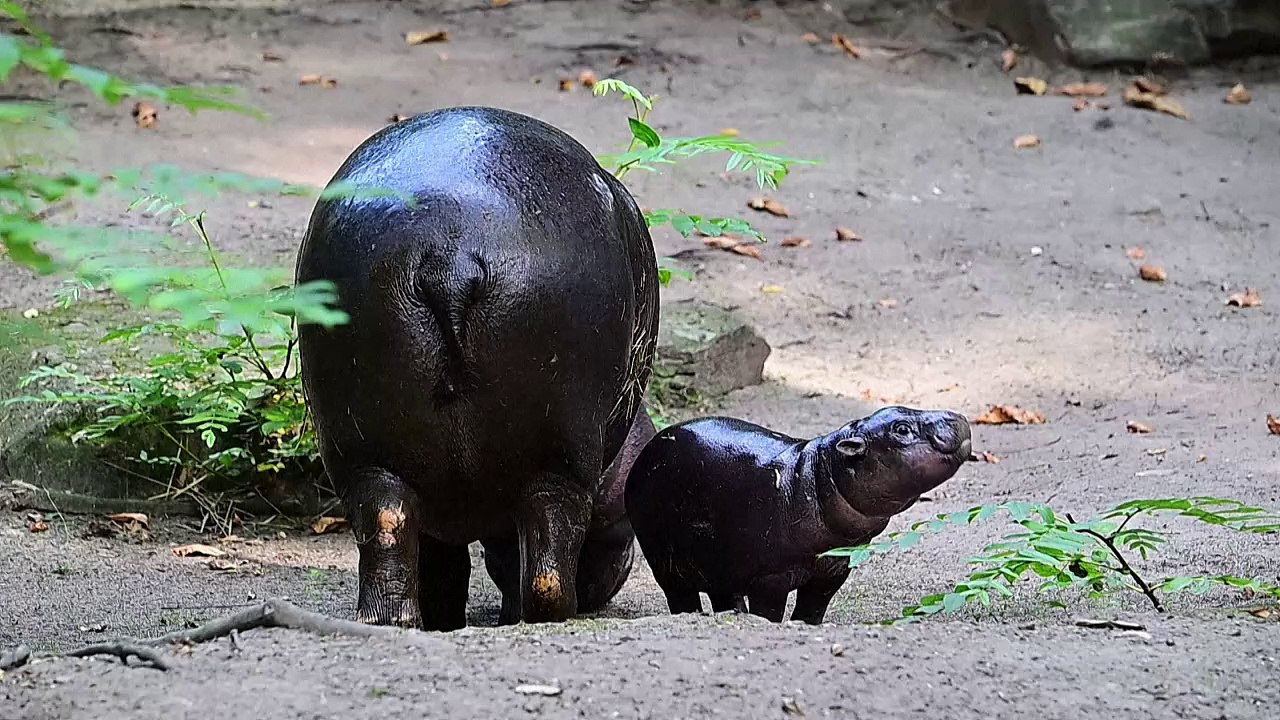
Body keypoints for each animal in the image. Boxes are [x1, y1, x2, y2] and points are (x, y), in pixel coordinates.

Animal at [295, 106, 659, 629]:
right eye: (623, 528)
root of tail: (450, 256)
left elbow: (444, 563)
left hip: (362, 449)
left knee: (388, 531)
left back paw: (399, 621)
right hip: (560, 457)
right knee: (548, 563)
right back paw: (549, 615)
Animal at [624, 406, 973, 625]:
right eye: (901, 428)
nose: (956, 417)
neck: (821, 472)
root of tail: (644, 454)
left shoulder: (833, 571)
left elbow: (813, 610)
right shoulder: (770, 579)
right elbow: (770, 612)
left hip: (720, 562)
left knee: (724, 596)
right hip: (666, 564)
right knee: (681, 597)